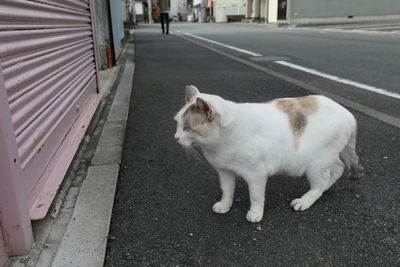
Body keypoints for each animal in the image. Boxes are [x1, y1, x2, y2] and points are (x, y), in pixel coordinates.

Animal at [174, 86, 362, 224]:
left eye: (187, 128)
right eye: (177, 124)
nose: (175, 138)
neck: (220, 143)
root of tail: (349, 114)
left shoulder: (256, 174)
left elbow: (256, 197)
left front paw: (255, 213)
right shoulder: (224, 171)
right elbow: (227, 190)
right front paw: (225, 205)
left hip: (316, 164)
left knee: (320, 183)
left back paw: (305, 200)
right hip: (326, 160)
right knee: (338, 168)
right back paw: (326, 188)